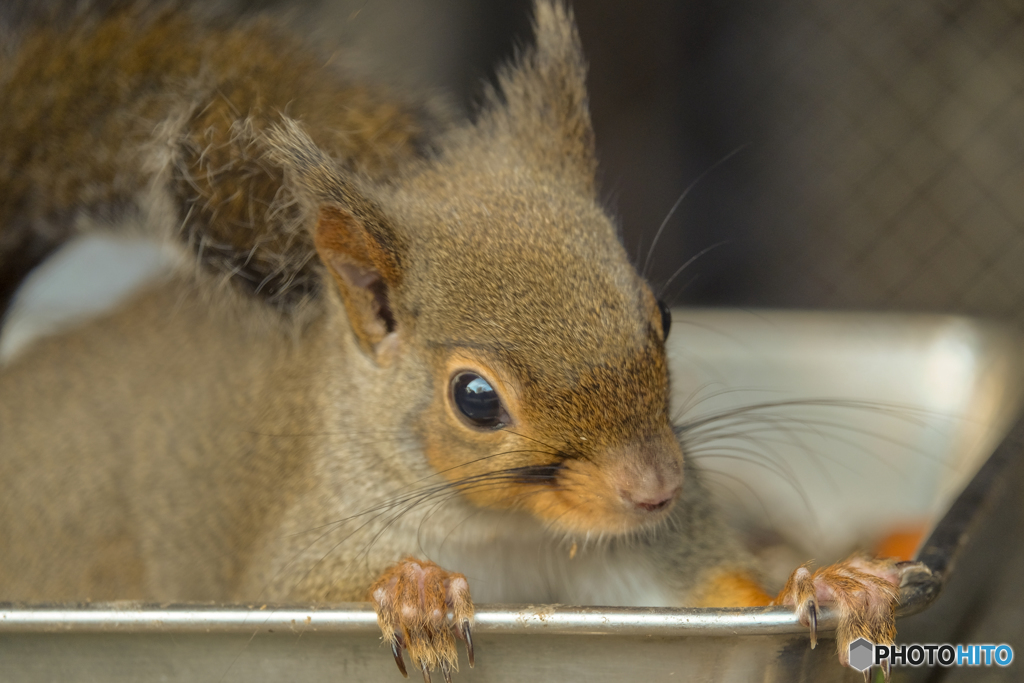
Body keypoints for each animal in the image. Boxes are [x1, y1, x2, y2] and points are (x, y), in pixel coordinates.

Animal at [0, 2, 917, 679]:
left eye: (660, 315)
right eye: (474, 398)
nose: (657, 489)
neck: (511, 530)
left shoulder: (649, 563)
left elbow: (733, 591)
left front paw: (836, 577)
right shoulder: (302, 554)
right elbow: (306, 590)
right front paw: (415, 591)